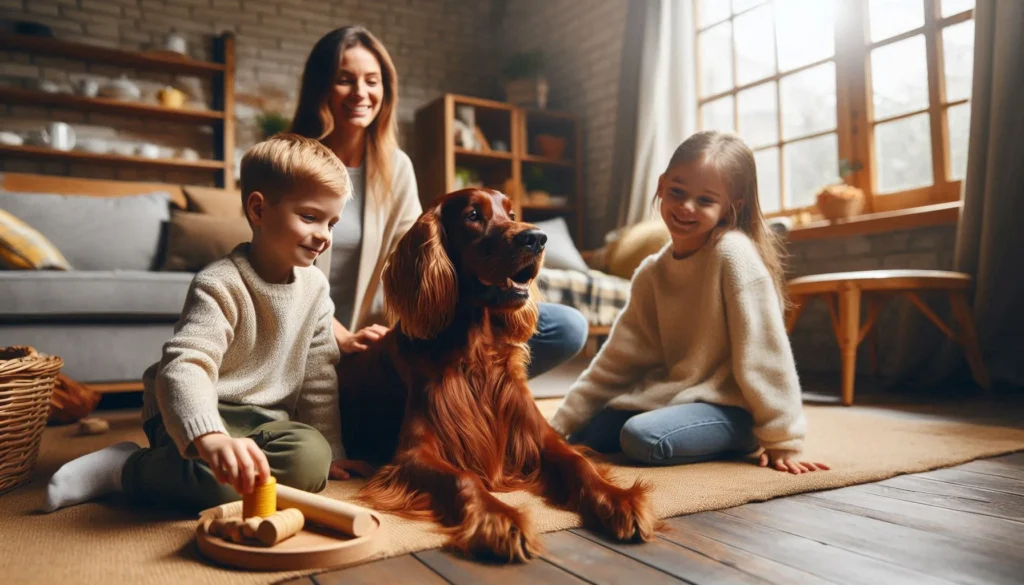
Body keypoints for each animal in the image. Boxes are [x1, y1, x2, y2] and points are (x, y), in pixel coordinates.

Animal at [335, 188, 655, 561]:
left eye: (512, 213)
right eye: (473, 215)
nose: (537, 238)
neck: (477, 352)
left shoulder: (535, 432)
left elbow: (578, 461)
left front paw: (619, 499)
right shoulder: (412, 453)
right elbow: (464, 478)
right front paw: (500, 518)